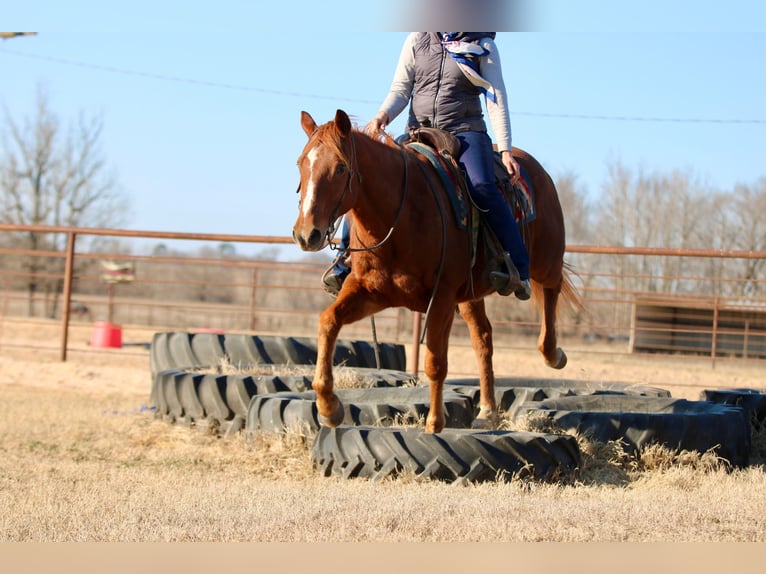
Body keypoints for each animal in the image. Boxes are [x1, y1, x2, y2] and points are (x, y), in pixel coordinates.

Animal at [292, 109, 580, 433]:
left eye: (341, 167)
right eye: (301, 163)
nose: (306, 233)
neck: (401, 213)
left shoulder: (441, 297)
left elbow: (435, 361)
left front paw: (434, 424)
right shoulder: (369, 292)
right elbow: (328, 322)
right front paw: (328, 407)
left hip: (545, 259)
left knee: (552, 289)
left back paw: (553, 354)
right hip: (470, 294)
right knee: (483, 338)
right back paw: (487, 410)